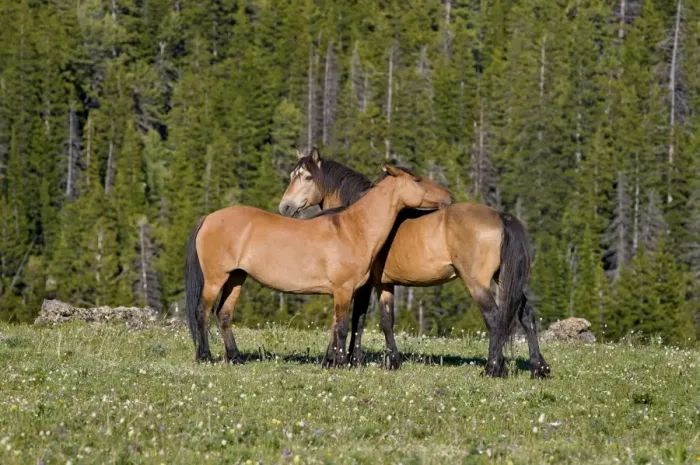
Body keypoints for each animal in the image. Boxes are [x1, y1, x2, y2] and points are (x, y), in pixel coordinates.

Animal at [184, 163, 453, 367]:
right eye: (417, 179)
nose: (449, 197)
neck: (353, 229)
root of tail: (208, 218)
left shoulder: (344, 291)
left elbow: (337, 326)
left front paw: (331, 362)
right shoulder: (344, 289)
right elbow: (343, 327)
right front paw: (341, 363)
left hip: (236, 278)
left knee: (224, 314)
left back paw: (236, 357)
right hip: (215, 278)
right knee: (202, 312)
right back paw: (205, 356)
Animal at [278, 150, 550, 378]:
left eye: (307, 177)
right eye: (293, 175)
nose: (285, 207)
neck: (359, 219)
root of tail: (500, 216)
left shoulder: (361, 285)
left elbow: (355, 319)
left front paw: (339, 359)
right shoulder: (384, 284)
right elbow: (386, 321)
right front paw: (390, 362)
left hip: (477, 283)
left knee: (494, 318)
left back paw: (493, 368)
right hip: (505, 279)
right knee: (526, 315)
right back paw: (539, 367)